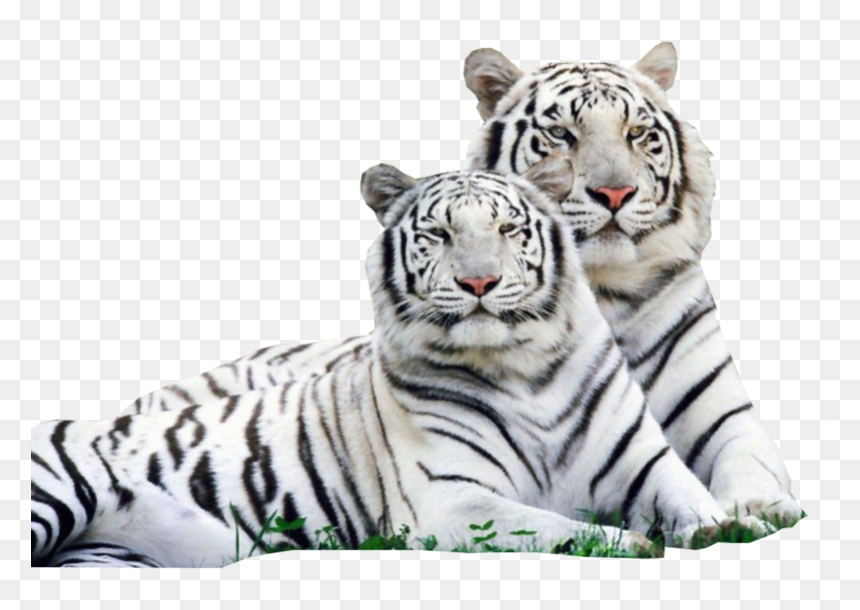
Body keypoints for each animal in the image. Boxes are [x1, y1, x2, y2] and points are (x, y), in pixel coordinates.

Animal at [31, 159, 760, 568]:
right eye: (440, 234)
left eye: (508, 230)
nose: (478, 283)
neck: (525, 369)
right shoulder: (450, 498)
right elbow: (551, 526)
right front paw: (629, 543)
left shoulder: (644, 462)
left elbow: (691, 497)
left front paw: (733, 525)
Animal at [460, 42, 803, 525]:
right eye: (561, 134)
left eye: (636, 132)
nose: (615, 194)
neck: (605, 288)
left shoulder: (724, 410)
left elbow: (747, 455)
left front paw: (759, 508)